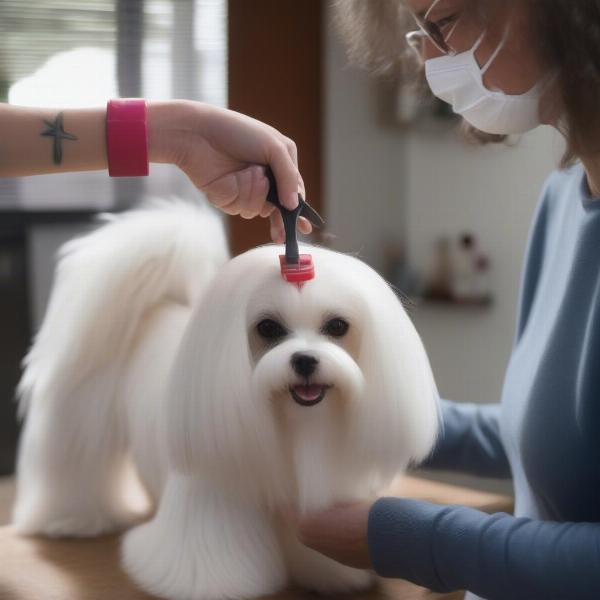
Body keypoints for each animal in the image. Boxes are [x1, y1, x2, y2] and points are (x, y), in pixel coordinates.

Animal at [12, 202, 440, 600]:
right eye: (267, 327)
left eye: (337, 326)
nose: (304, 360)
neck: (290, 425)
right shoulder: (213, 493)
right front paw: (212, 585)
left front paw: (331, 573)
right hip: (80, 422)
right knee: (75, 467)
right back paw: (70, 520)